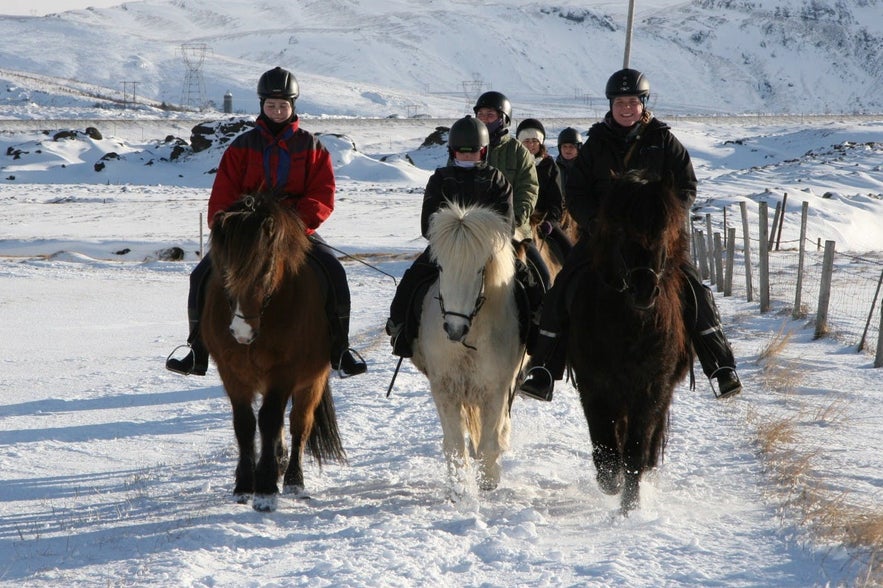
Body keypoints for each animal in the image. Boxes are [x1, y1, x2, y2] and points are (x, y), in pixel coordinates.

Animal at [203, 192, 346, 510]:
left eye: (265, 268)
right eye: (223, 269)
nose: (241, 332)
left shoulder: (284, 372)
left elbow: (269, 420)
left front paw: (266, 489)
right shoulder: (230, 372)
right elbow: (244, 424)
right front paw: (244, 485)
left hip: (311, 382)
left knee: (298, 425)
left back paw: (293, 480)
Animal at [412, 201, 528, 492]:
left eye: (479, 270)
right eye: (441, 267)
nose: (454, 329)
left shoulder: (496, 390)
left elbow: (490, 442)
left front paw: (488, 483)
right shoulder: (445, 390)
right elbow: (454, 445)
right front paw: (459, 488)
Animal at [568, 171, 696, 516]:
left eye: (663, 230)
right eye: (622, 229)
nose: (644, 290)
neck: (629, 328)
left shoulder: (651, 389)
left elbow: (635, 453)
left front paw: (630, 506)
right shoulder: (595, 387)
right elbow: (605, 447)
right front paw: (610, 483)